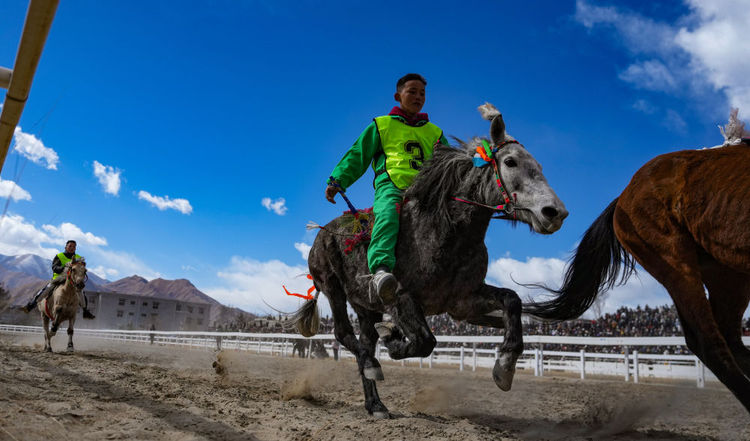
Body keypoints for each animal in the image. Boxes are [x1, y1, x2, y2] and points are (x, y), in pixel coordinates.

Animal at [290, 103, 568, 416]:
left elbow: (512, 301)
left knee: (365, 341)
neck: (447, 233)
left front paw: (505, 366)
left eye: (539, 166)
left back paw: (376, 403)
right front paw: (394, 340)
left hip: (366, 306)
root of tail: (321, 233)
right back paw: (375, 363)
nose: (554, 212)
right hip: (333, 289)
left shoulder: (464, 300)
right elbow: (425, 341)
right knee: (344, 335)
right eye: (510, 162)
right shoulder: (402, 297)